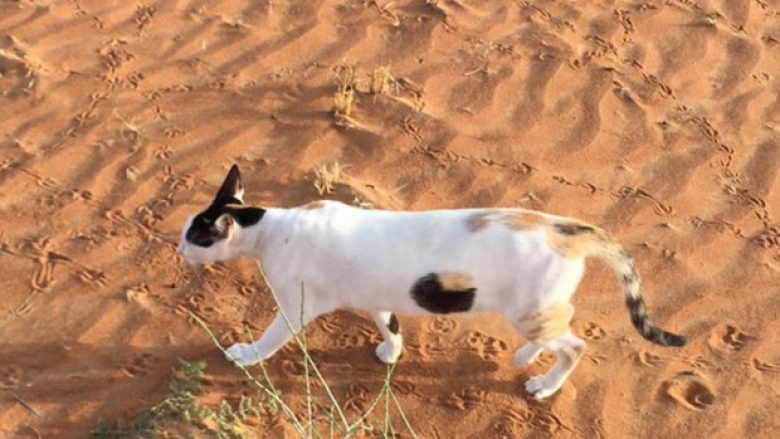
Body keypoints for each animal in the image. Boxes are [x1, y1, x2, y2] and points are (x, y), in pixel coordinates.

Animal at [178, 165, 688, 398]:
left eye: (195, 235)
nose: (178, 249)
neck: (273, 227)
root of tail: (566, 229)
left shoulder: (295, 307)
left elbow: (269, 339)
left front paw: (245, 355)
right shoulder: (378, 299)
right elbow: (390, 326)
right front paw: (391, 353)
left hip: (528, 309)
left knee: (576, 345)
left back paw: (544, 384)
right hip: (535, 309)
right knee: (562, 327)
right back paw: (526, 355)